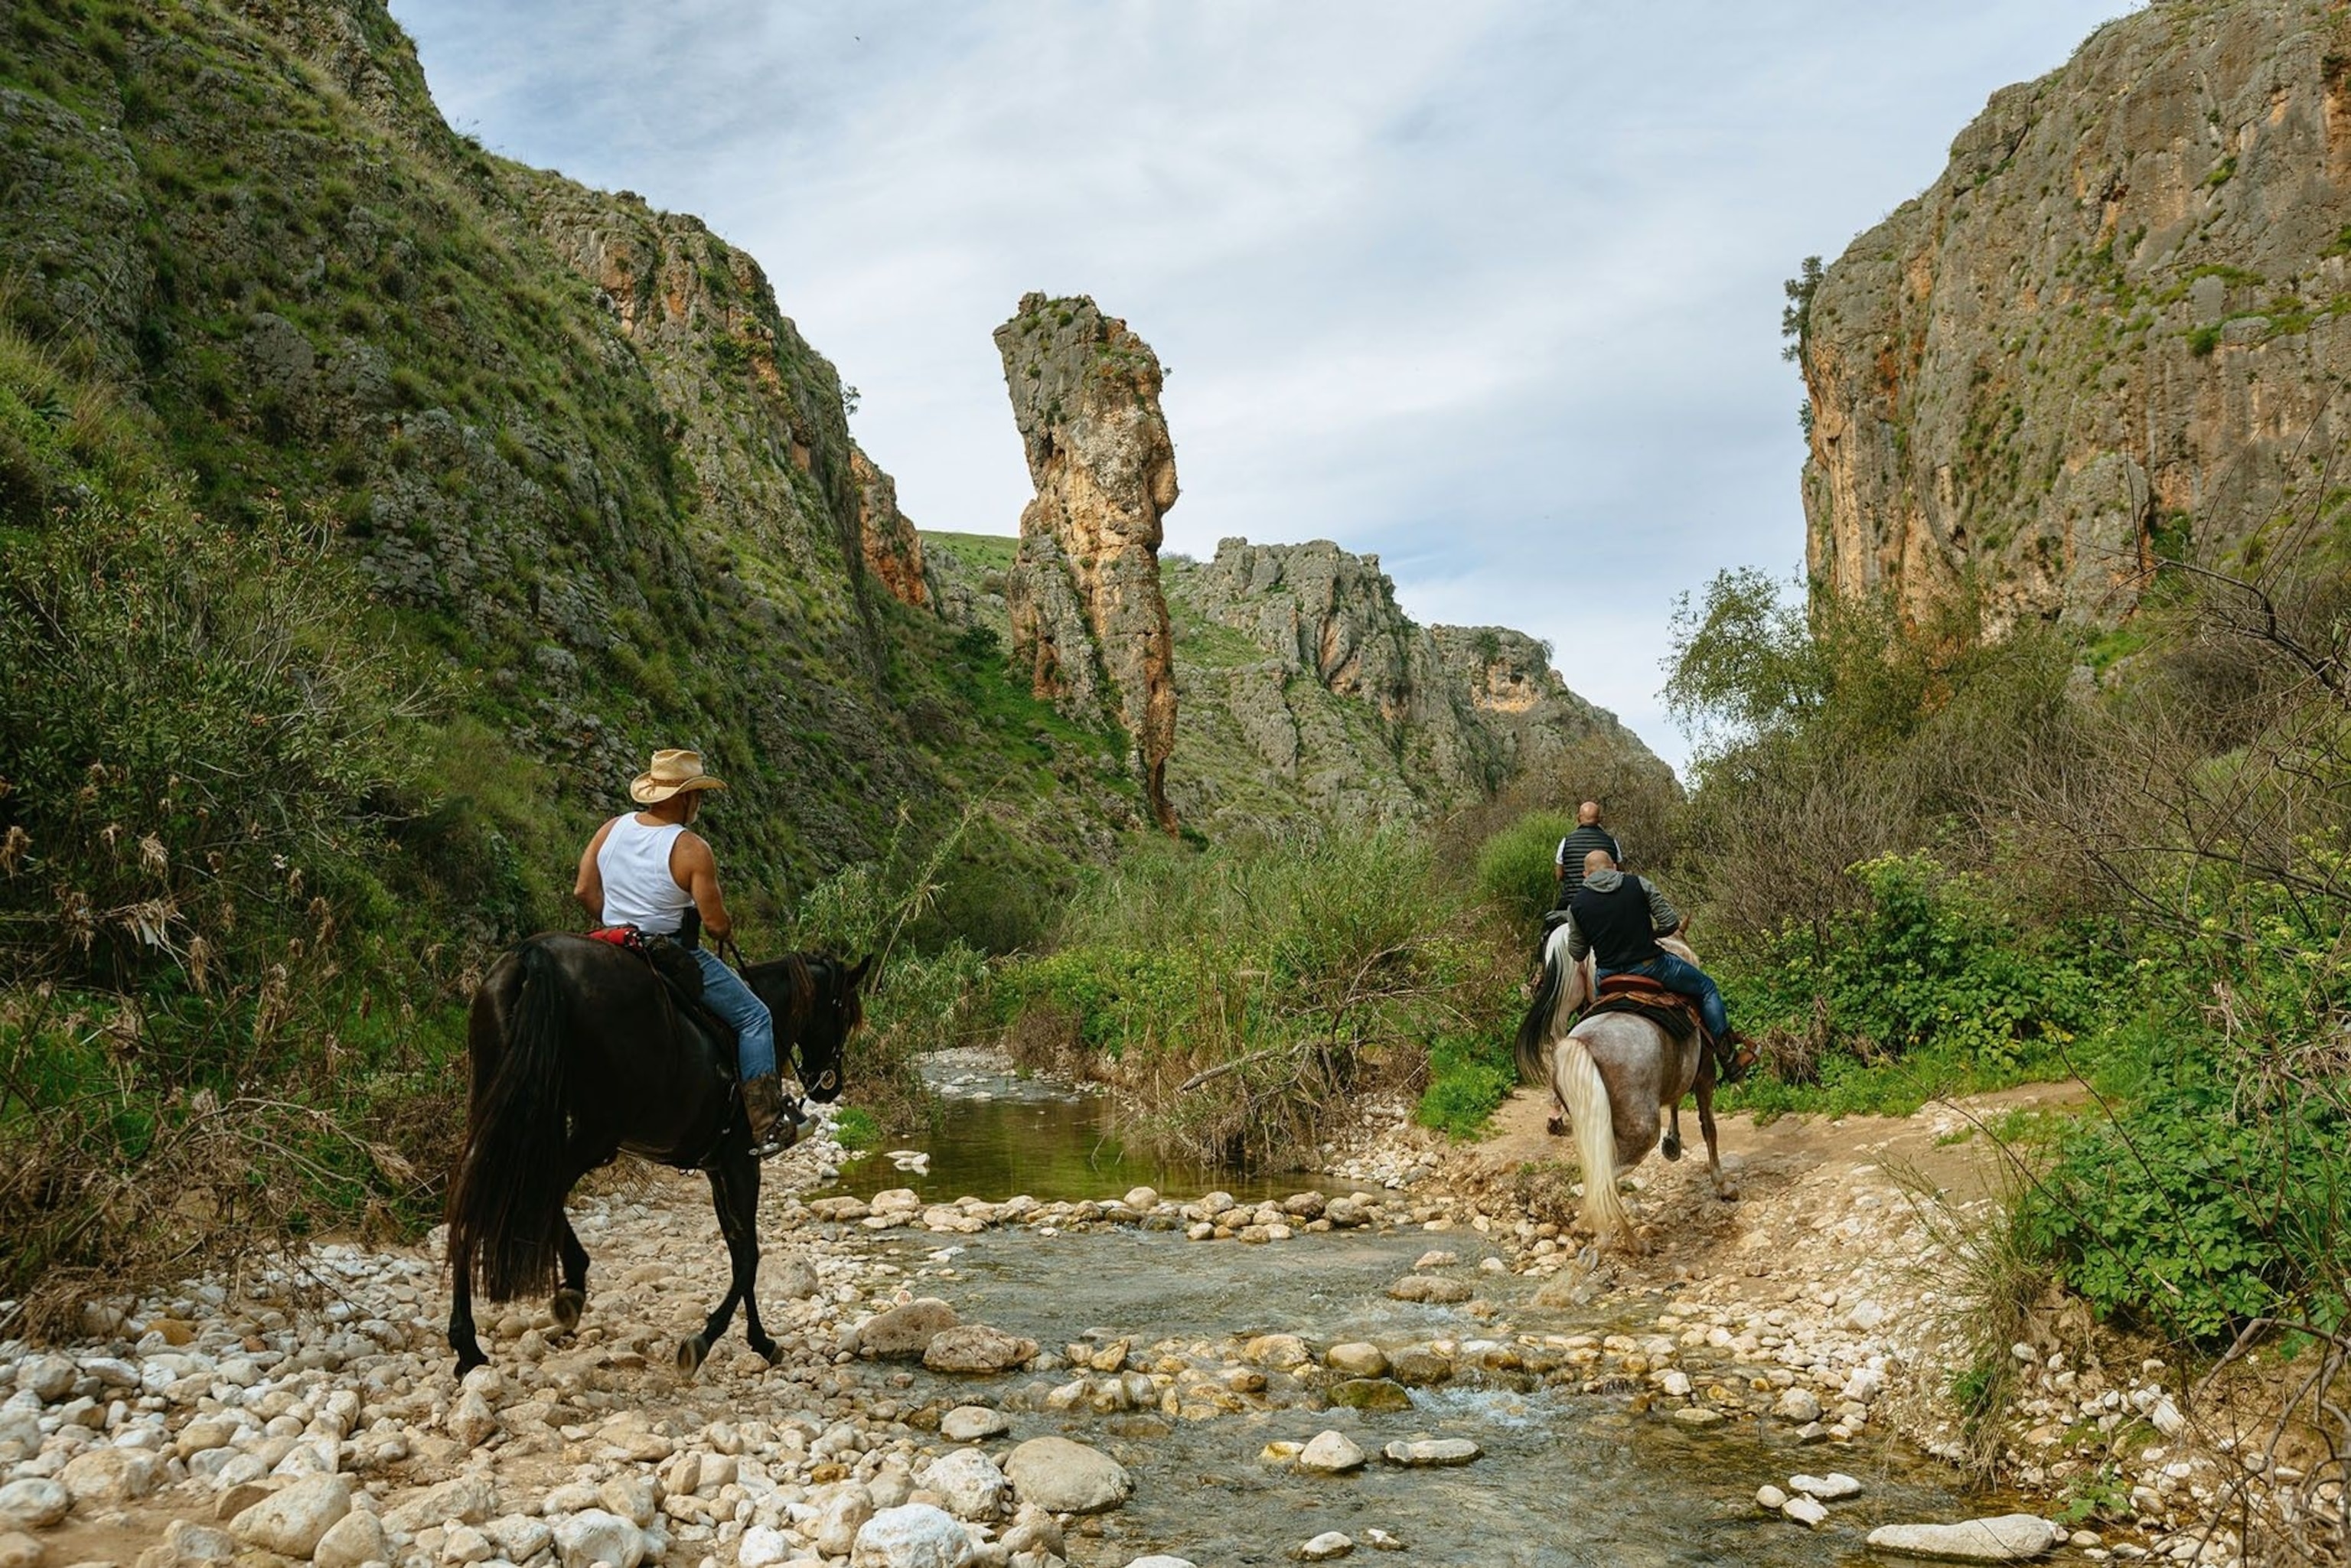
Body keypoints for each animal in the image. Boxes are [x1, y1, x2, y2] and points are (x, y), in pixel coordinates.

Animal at [443, 935, 871, 1376]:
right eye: (845, 1014)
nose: (829, 1086)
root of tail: (533, 954)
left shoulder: (717, 1167)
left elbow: (739, 1250)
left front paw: (759, 1340)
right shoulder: (741, 1162)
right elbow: (748, 1256)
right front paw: (709, 1340)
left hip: (502, 1108)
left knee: (476, 1192)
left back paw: (469, 1345)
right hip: (593, 1134)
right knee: (533, 1191)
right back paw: (571, 1284)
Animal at [1513, 926, 1736, 1250]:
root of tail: (1583, 1046)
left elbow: (1677, 1099)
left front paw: (1673, 1143)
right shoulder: (1705, 1074)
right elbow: (1709, 1128)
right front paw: (1723, 1186)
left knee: (1599, 1178)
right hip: (1642, 1131)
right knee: (1604, 1181)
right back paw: (1631, 1242)